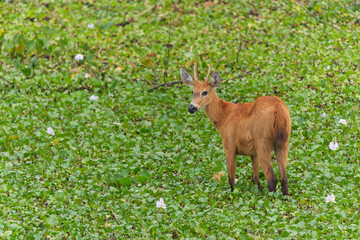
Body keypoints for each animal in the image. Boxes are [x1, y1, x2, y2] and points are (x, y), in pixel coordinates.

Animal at [179, 63, 292, 195]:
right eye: (193, 91)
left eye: (204, 92)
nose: (191, 108)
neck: (223, 117)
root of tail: (277, 110)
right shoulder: (253, 153)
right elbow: (256, 179)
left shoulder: (229, 145)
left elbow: (231, 179)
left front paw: (232, 194)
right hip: (283, 141)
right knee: (284, 178)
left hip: (262, 141)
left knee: (272, 178)